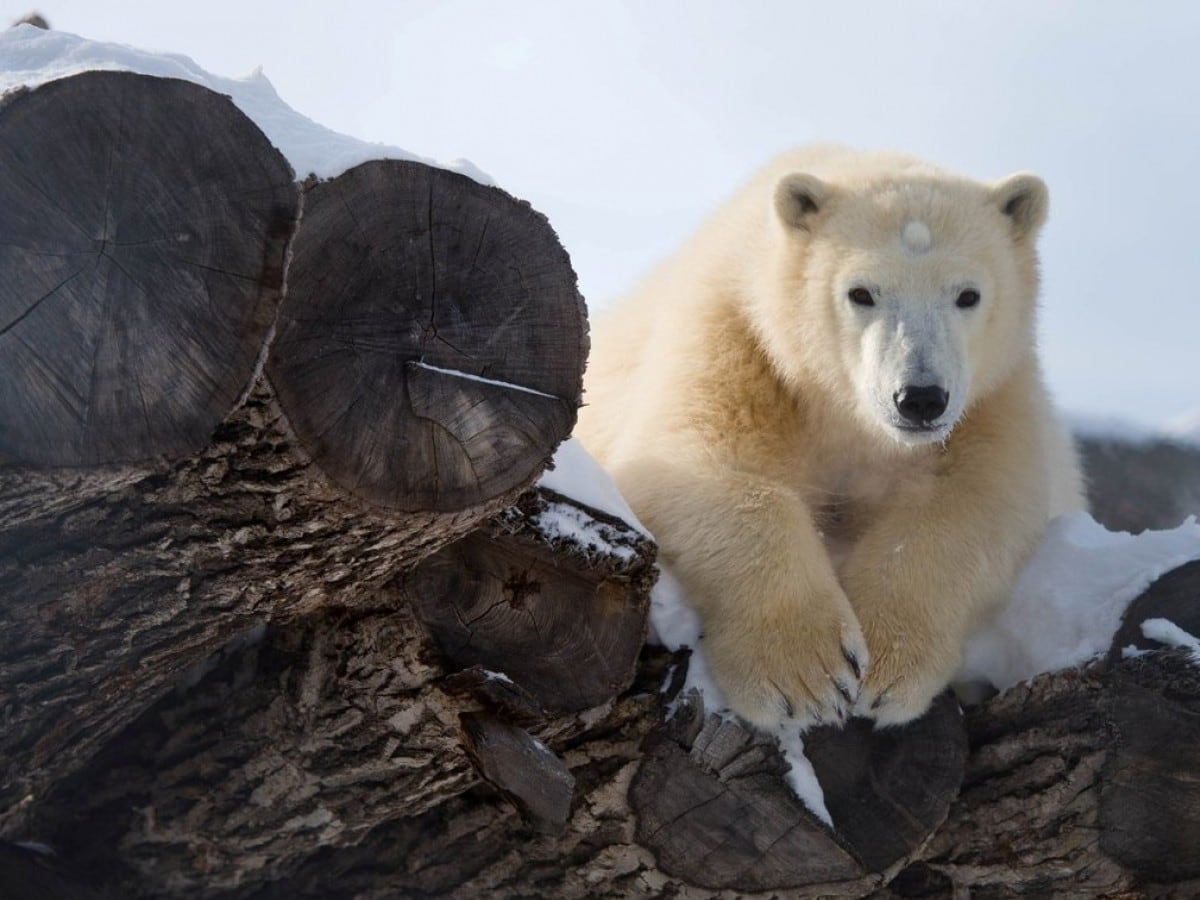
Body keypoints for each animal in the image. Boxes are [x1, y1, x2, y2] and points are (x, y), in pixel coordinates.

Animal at [575, 145, 1086, 729]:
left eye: (968, 294)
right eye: (860, 292)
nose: (920, 398)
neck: (851, 422)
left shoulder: (992, 396)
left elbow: (976, 499)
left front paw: (887, 670)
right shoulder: (738, 338)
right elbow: (705, 466)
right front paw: (806, 679)